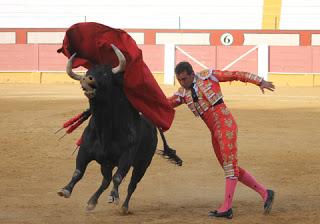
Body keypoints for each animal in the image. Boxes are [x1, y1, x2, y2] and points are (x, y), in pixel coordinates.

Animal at [57, 44, 181, 214]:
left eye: (105, 74)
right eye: (88, 72)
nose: (87, 79)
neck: (104, 128)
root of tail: (153, 125)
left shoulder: (127, 157)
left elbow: (118, 177)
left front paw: (114, 197)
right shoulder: (85, 151)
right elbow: (78, 172)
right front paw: (65, 190)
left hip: (142, 164)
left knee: (131, 185)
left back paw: (124, 207)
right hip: (107, 163)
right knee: (106, 180)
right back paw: (91, 202)